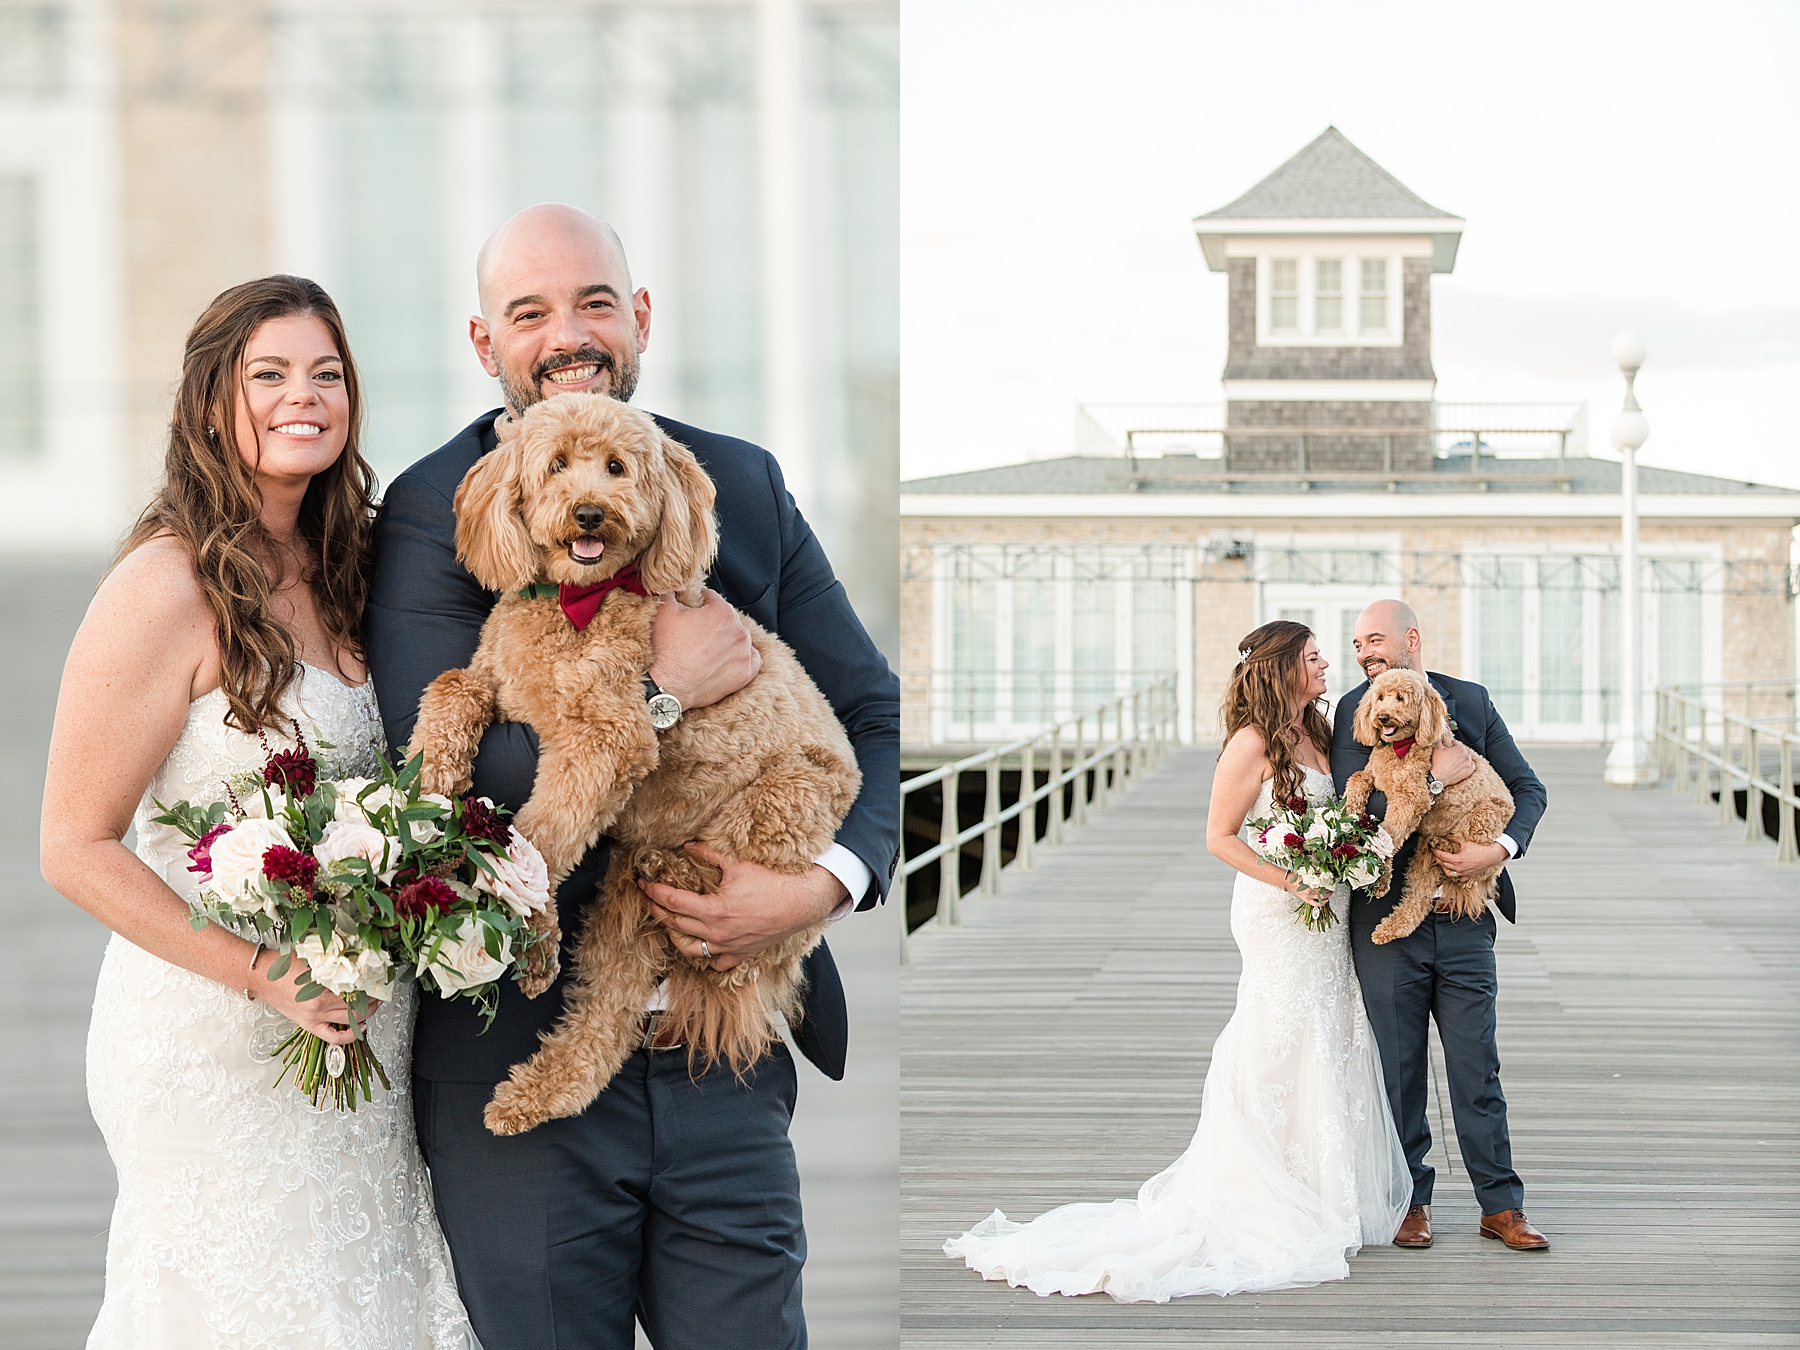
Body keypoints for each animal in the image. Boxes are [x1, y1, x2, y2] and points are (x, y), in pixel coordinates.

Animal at [412, 394, 860, 1144]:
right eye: (557, 465)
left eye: (618, 468)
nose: (591, 512)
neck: (573, 603)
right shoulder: (497, 685)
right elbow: (450, 686)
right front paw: (430, 778)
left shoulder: (605, 739)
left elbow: (543, 835)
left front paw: (531, 931)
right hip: (622, 921)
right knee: (608, 1019)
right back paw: (534, 1095)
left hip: (783, 803)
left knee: (729, 921)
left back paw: (677, 873)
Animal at [1346, 673, 1512, 943]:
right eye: (1379, 697)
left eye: (1401, 698)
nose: (1382, 717)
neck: (1399, 748)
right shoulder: (1372, 775)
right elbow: (1356, 779)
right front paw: (1349, 812)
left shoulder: (1410, 798)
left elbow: (1389, 835)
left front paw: (1380, 875)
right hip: (1423, 863)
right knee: (1418, 900)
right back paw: (1390, 928)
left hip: (1483, 819)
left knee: (1467, 871)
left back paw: (1446, 846)